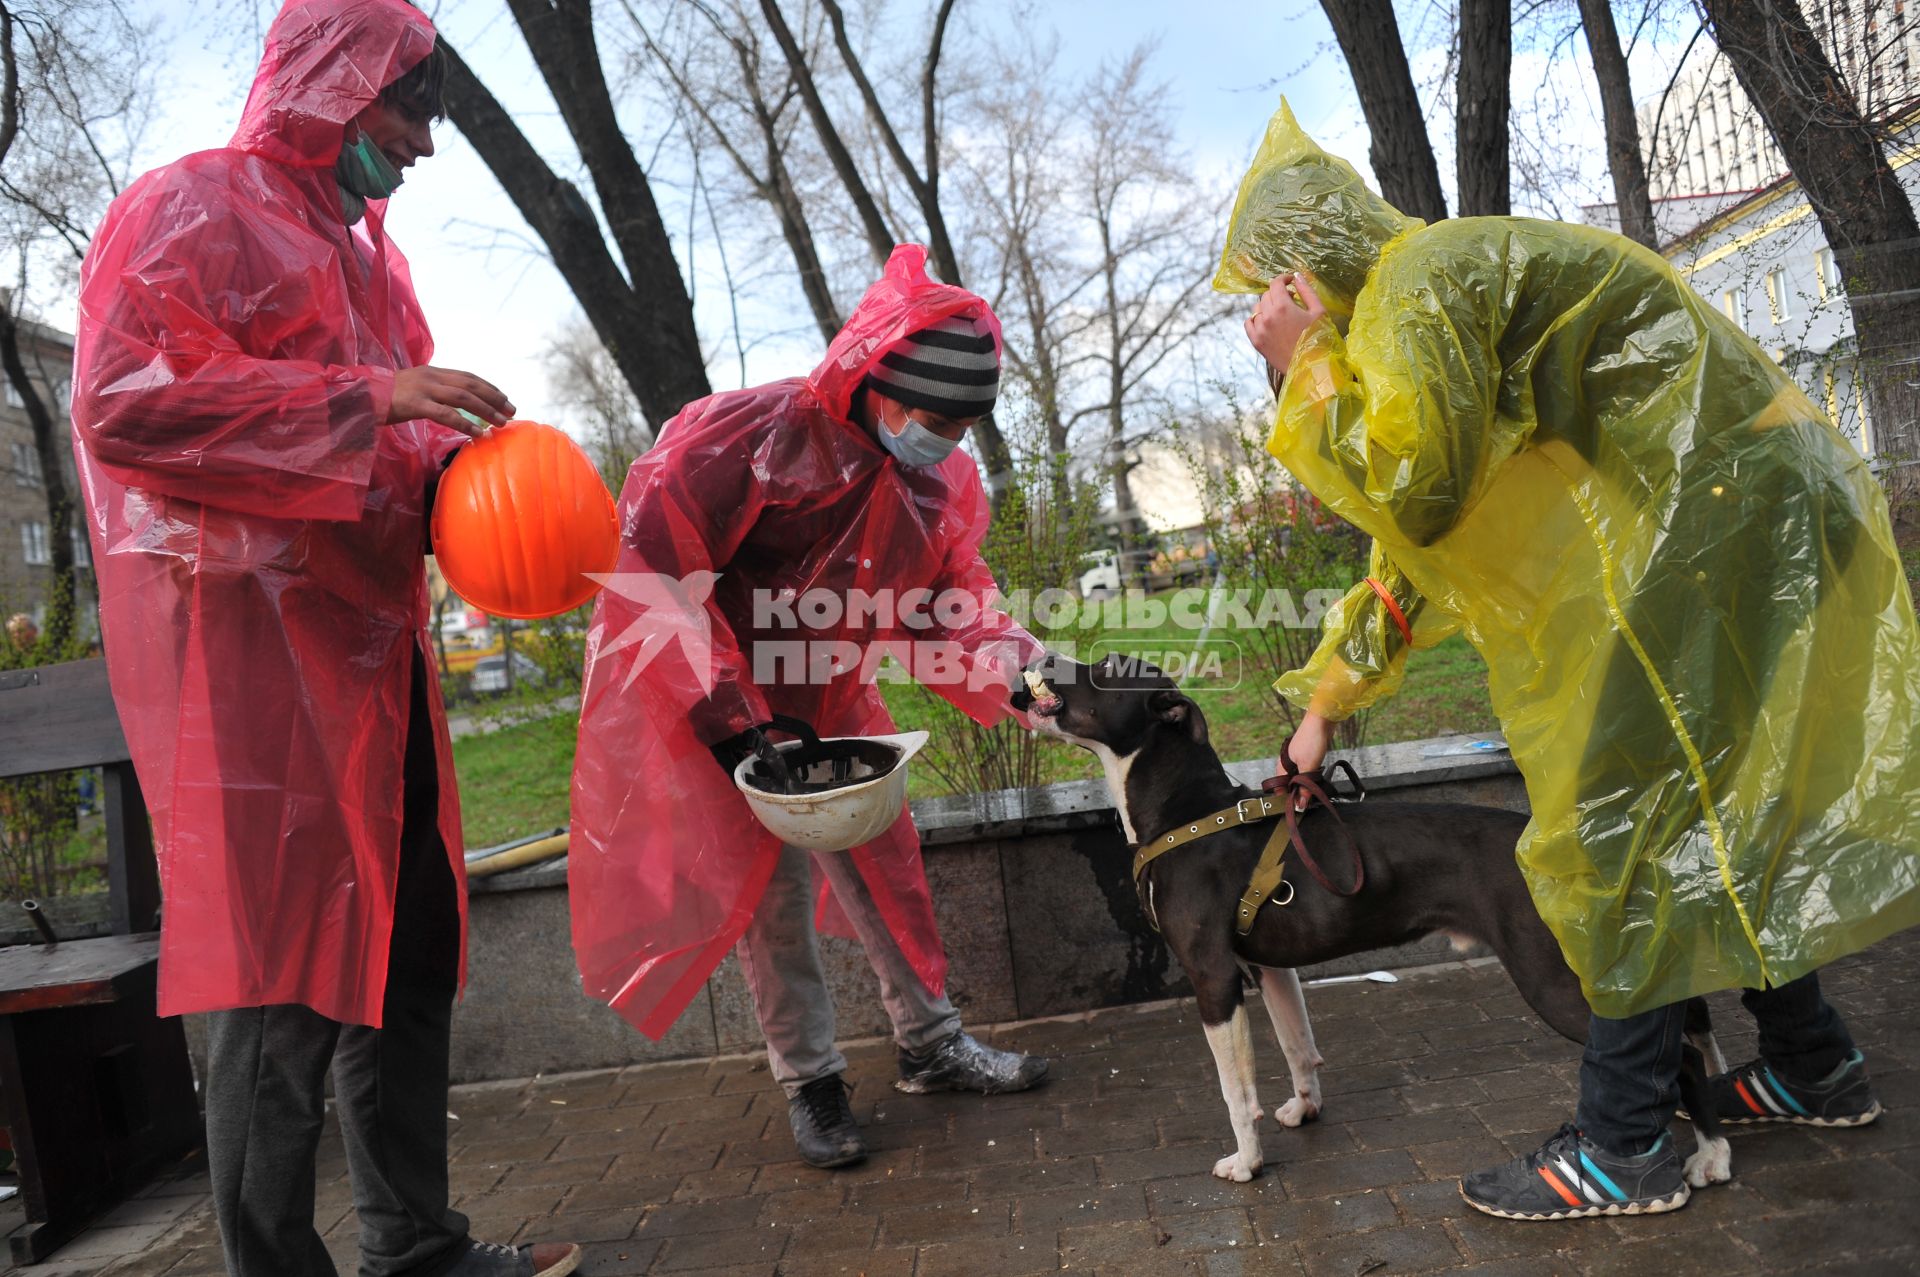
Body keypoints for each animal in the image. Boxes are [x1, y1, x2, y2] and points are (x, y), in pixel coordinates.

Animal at [1013, 656, 1735, 1182]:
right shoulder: (1269, 967)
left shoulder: (1212, 977)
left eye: (1104, 665)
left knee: (1673, 1051)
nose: (1041, 657)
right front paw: (1304, 1109)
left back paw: (1711, 1153)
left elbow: (1234, 1090)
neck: (1188, 812)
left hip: (1551, 975)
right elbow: (1297, 1046)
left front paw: (1246, 1162)